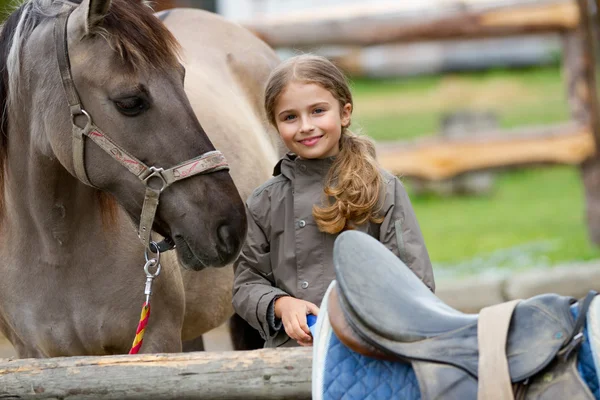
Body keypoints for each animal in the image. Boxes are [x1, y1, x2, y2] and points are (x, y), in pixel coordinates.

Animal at [0, 0, 278, 356]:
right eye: (130, 102)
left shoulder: (156, 342)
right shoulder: (37, 354)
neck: (55, 252)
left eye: (182, 79)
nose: (230, 225)